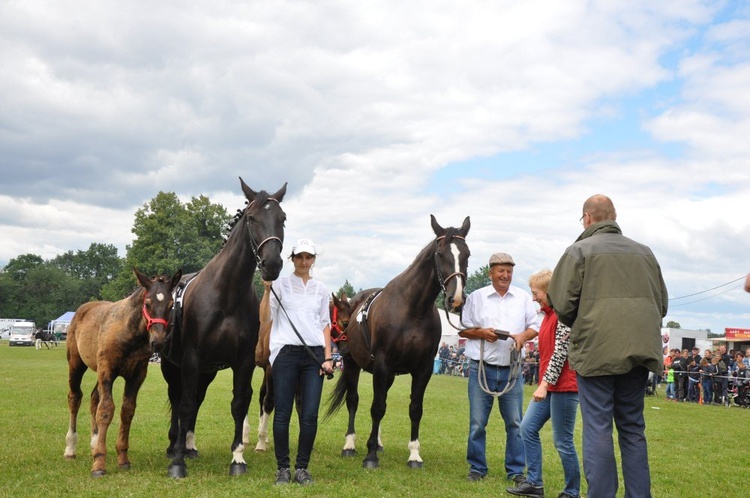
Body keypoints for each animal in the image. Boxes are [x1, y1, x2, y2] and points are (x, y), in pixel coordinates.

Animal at [64, 266, 182, 476]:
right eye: (148, 303)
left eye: (170, 305)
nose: (158, 342)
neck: (130, 334)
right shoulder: (107, 370)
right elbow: (106, 410)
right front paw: (99, 464)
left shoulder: (136, 375)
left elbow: (127, 411)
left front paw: (123, 459)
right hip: (76, 364)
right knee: (75, 397)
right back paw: (70, 448)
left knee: (93, 398)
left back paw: (94, 443)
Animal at [160, 180, 286, 478]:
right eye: (252, 219)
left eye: (283, 219)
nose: (272, 264)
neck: (226, 294)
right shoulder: (191, 358)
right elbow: (184, 405)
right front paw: (177, 463)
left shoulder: (244, 361)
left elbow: (239, 404)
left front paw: (237, 458)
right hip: (174, 367)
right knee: (178, 399)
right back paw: (174, 446)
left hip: (207, 372)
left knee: (196, 399)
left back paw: (190, 445)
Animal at [328, 216, 470, 468]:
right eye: (440, 253)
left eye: (467, 254)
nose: (456, 299)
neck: (412, 309)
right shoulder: (382, 364)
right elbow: (376, 407)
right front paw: (370, 457)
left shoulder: (422, 369)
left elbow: (415, 409)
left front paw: (414, 454)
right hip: (352, 363)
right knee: (353, 400)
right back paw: (350, 444)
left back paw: (377, 442)